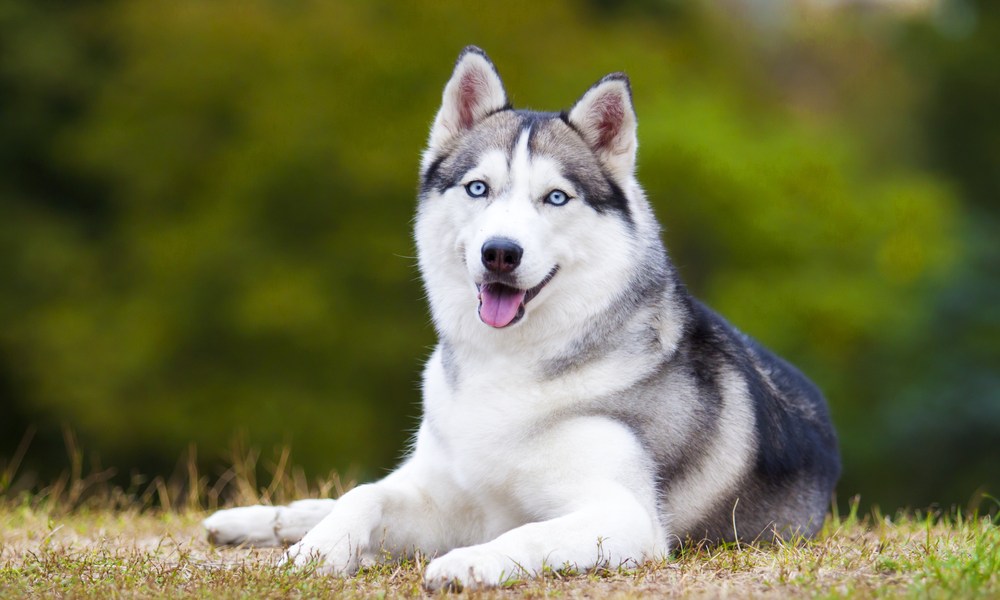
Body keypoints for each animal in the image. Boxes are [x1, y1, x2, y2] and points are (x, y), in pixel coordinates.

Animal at [205, 47, 844, 592]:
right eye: (478, 188)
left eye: (555, 197)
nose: (500, 253)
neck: (508, 367)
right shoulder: (451, 497)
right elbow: (364, 495)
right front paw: (313, 553)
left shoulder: (624, 515)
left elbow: (529, 532)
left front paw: (466, 563)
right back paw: (261, 520)